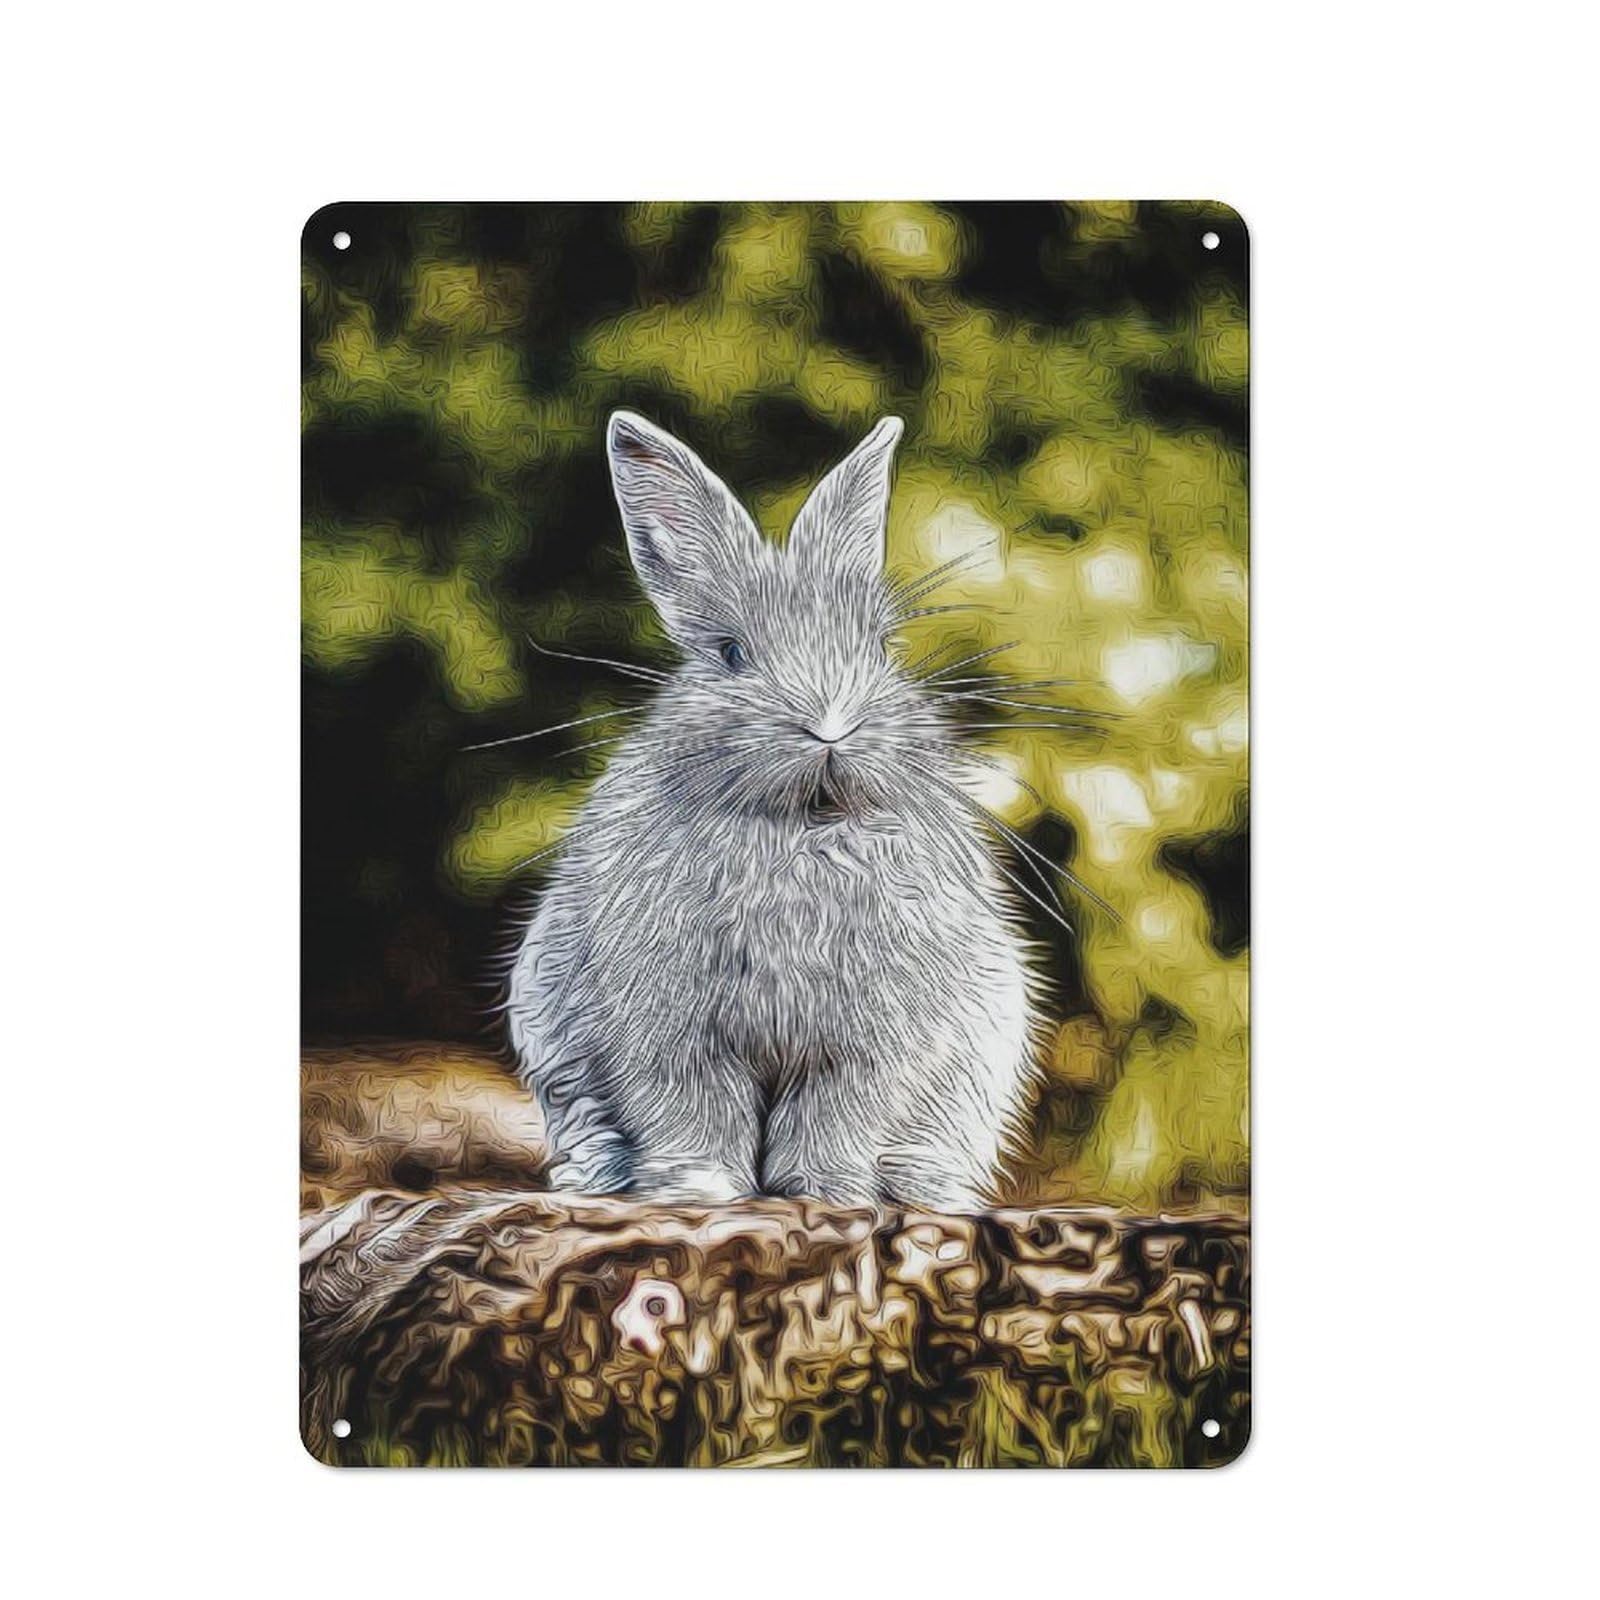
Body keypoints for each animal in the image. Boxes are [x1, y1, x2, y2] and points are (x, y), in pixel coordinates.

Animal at [505, 410, 1046, 1210]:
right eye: (731, 653)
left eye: (879, 647)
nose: (830, 725)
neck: (803, 828)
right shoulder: (673, 1036)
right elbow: (691, 1111)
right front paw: (698, 1191)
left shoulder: (868, 1047)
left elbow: (836, 1117)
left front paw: (825, 1193)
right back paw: (594, 1177)